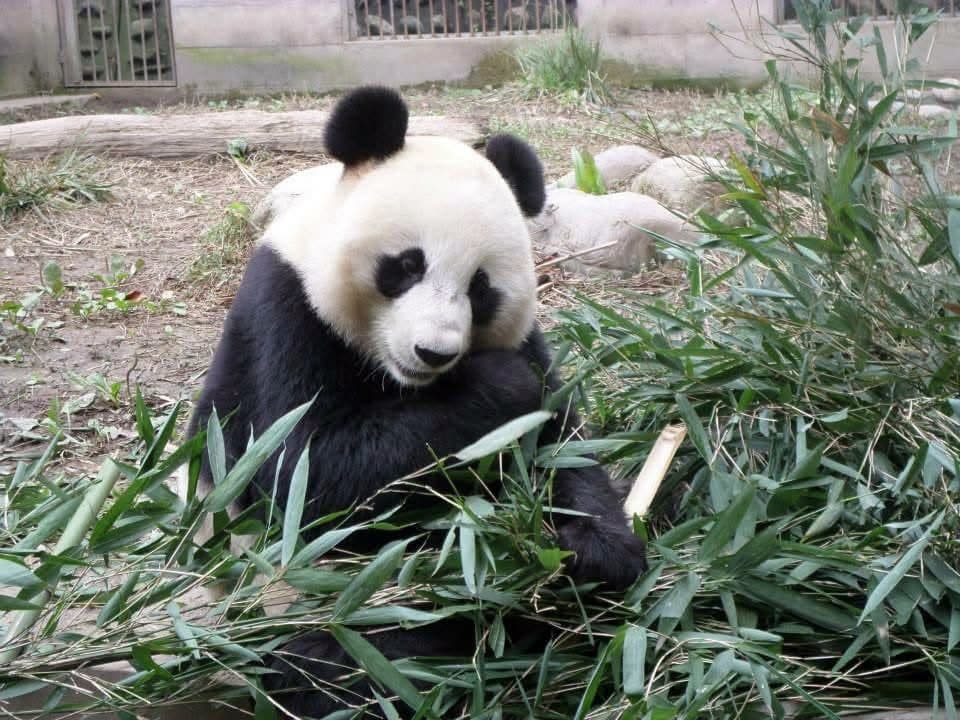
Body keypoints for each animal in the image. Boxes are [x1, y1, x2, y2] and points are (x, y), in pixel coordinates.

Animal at [185, 86, 647, 717]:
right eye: (406, 265)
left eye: (480, 288)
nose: (433, 351)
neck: (407, 384)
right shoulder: (285, 313)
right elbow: (304, 471)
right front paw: (498, 383)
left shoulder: (525, 338)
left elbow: (561, 449)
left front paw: (596, 553)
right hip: (281, 598)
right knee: (332, 658)